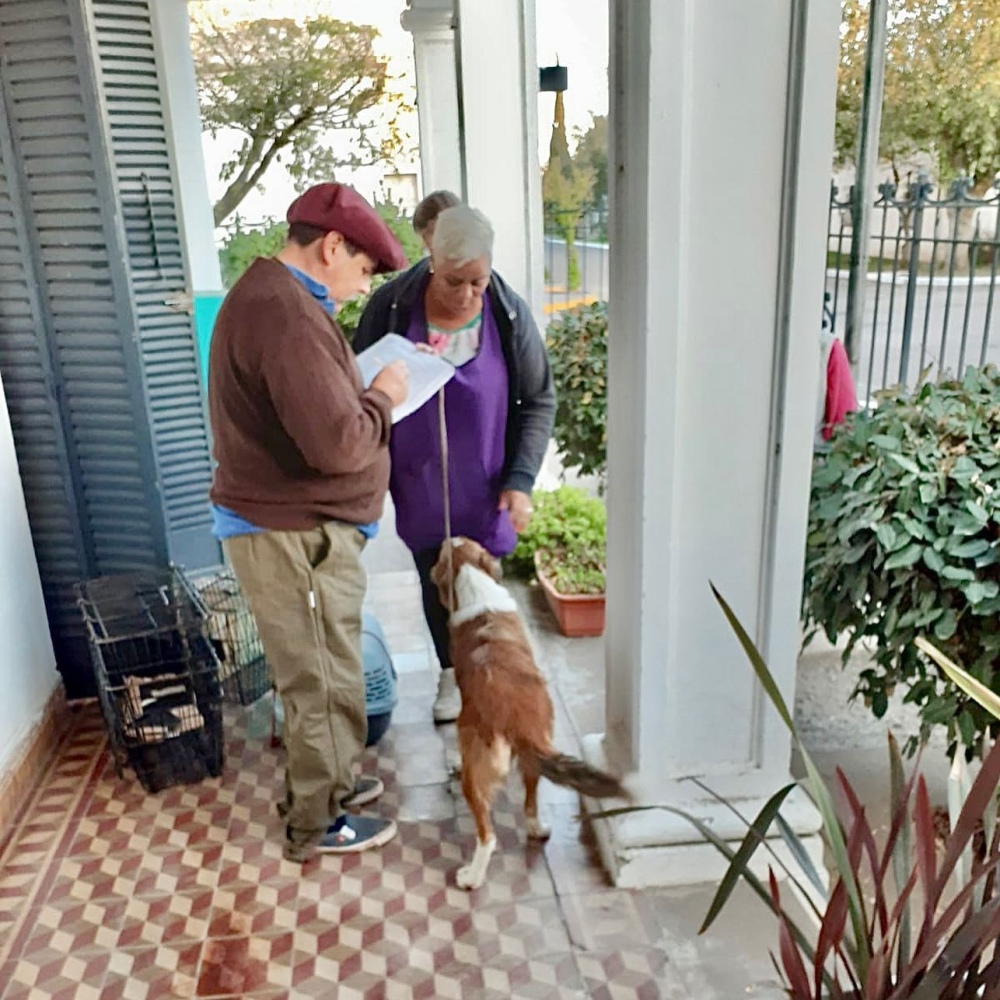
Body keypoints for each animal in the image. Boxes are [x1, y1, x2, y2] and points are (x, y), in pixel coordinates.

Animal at [428, 540, 624, 892]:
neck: (474, 584)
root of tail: (513, 716)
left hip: (475, 777)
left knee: (487, 835)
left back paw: (471, 876)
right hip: (535, 756)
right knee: (530, 803)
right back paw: (537, 830)